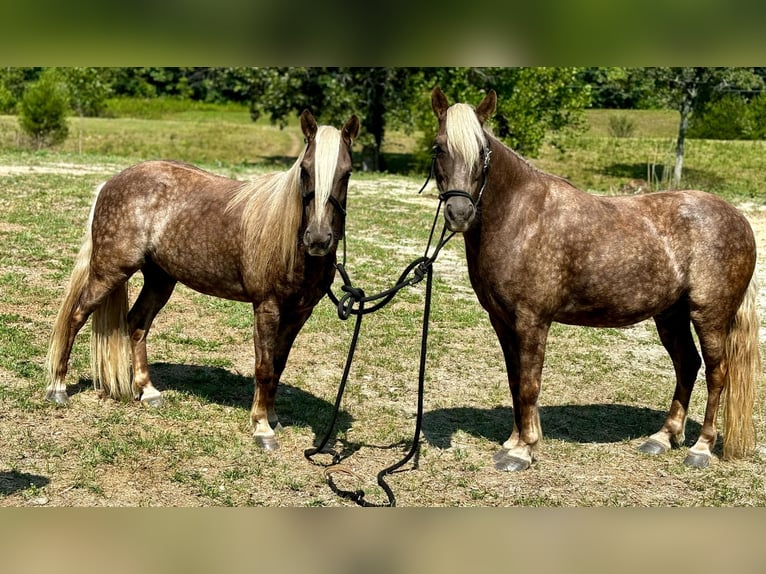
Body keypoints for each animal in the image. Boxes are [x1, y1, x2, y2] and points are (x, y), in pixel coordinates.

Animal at [45, 109, 360, 451]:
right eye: (304, 169)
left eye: (347, 173)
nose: (318, 239)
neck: (288, 239)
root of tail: (110, 183)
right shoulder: (267, 308)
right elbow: (263, 367)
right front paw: (262, 428)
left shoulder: (300, 312)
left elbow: (278, 364)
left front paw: (272, 417)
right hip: (109, 272)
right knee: (76, 316)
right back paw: (58, 388)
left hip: (160, 280)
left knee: (137, 323)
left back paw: (148, 391)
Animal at [430, 86, 760, 471]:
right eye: (438, 147)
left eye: (482, 153)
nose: (460, 213)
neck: (521, 216)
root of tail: (739, 218)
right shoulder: (502, 320)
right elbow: (515, 380)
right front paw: (513, 441)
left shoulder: (532, 320)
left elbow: (529, 385)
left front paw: (523, 450)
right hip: (671, 315)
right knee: (687, 365)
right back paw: (662, 438)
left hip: (710, 315)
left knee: (716, 373)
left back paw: (701, 448)